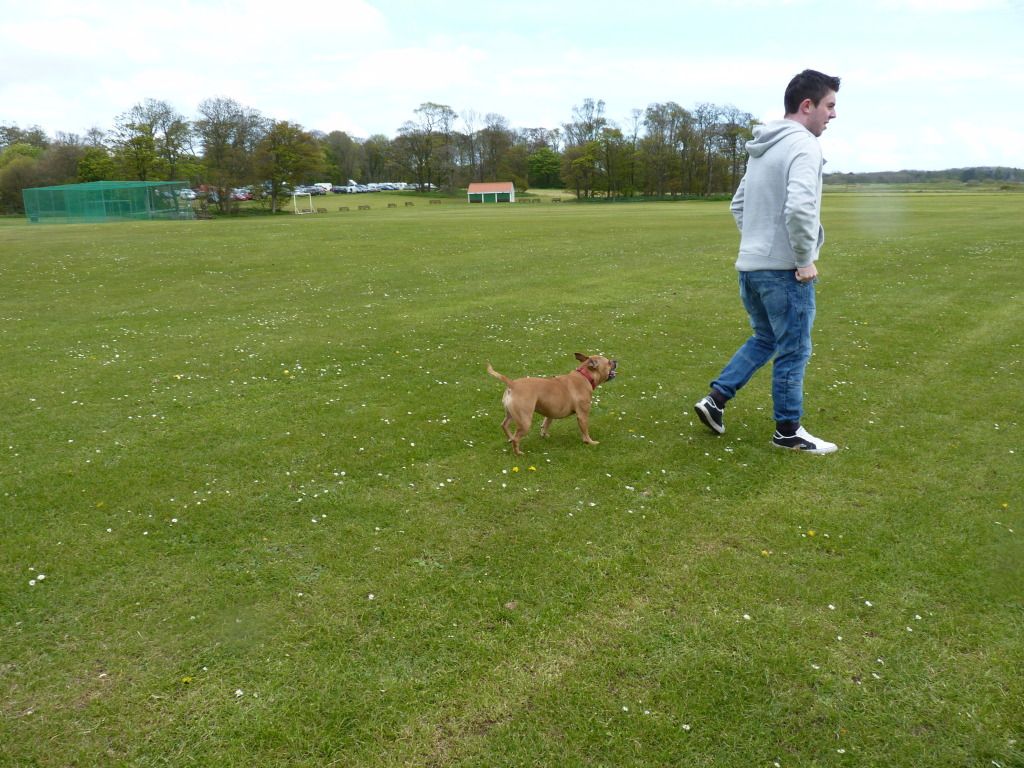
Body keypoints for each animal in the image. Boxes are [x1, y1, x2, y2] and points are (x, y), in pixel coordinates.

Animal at [485, 354, 614, 456]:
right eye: (608, 362)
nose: (615, 360)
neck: (585, 375)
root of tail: (512, 384)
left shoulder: (550, 411)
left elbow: (546, 423)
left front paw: (544, 434)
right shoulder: (582, 415)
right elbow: (585, 430)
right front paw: (590, 442)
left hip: (511, 414)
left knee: (504, 425)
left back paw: (510, 438)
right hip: (525, 421)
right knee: (517, 438)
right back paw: (518, 452)